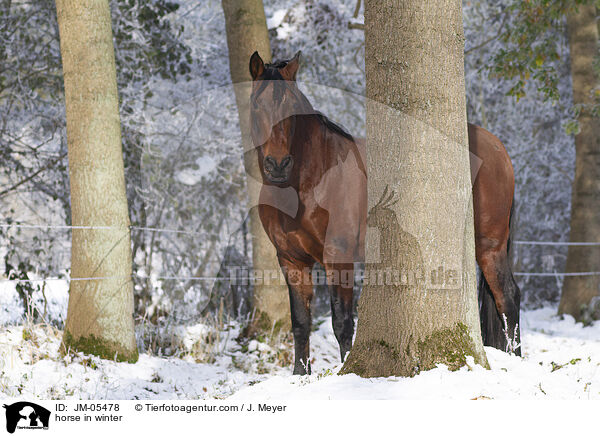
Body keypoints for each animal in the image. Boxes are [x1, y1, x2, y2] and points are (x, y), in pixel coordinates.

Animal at [248, 50, 520, 372]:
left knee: (508, 298)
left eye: (292, 108)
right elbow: (300, 322)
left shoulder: (338, 257)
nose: (277, 165)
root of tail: (497, 147)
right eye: (256, 104)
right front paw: (300, 374)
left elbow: (342, 323)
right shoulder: (291, 260)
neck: (311, 179)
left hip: (489, 245)